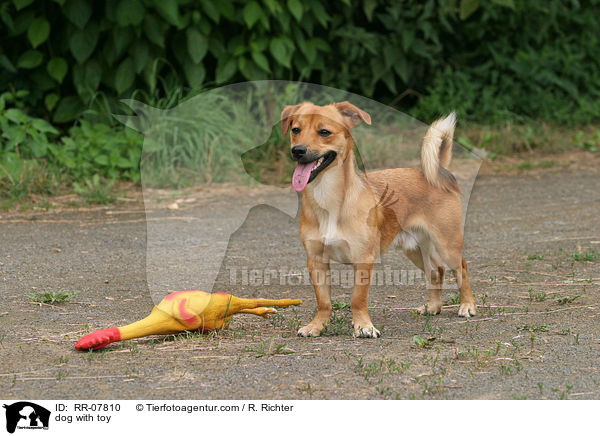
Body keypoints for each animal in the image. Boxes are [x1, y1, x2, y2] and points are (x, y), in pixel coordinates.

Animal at [282, 101, 478, 338]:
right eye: (295, 130)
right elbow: (324, 301)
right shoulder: (316, 260)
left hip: (447, 244)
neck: (328, 198)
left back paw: (467, 306)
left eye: (324, 132)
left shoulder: (363, 259)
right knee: (436, 270)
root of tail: (434, 173)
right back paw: (433, 307)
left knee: (461, 268)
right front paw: (317, 325)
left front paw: (363, 326)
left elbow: (357, 299)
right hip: (414, 248)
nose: (298, 150)